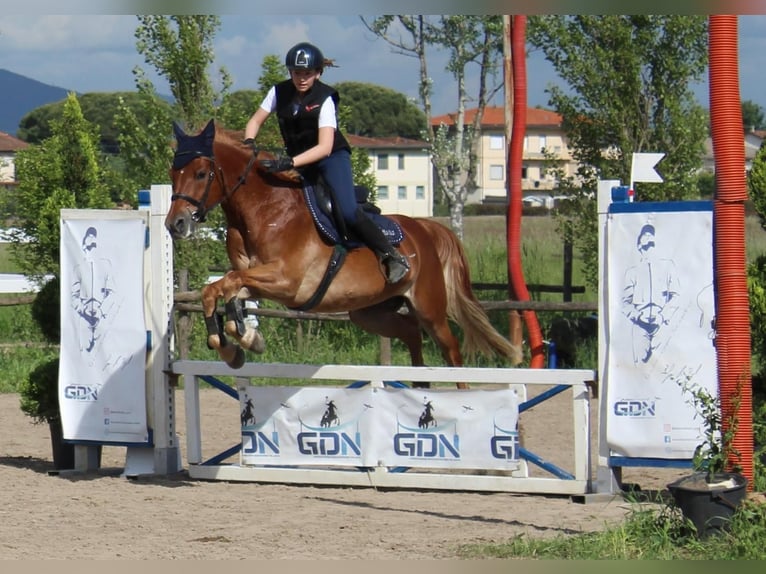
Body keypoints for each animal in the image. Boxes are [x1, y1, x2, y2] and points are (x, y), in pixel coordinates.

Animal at [165, 120, 524, 388]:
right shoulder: (257, 279)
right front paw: (238, 343)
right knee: (410, 334)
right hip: (371, 312)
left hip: (429, 308)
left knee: (450, 351)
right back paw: (419, 385)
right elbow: (219, 289)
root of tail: (425, 228)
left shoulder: (287, 282)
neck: (264, 209)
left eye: (201, 173)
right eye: (173, 174)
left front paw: (240, 340)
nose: (174, 224)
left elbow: (224, 285)